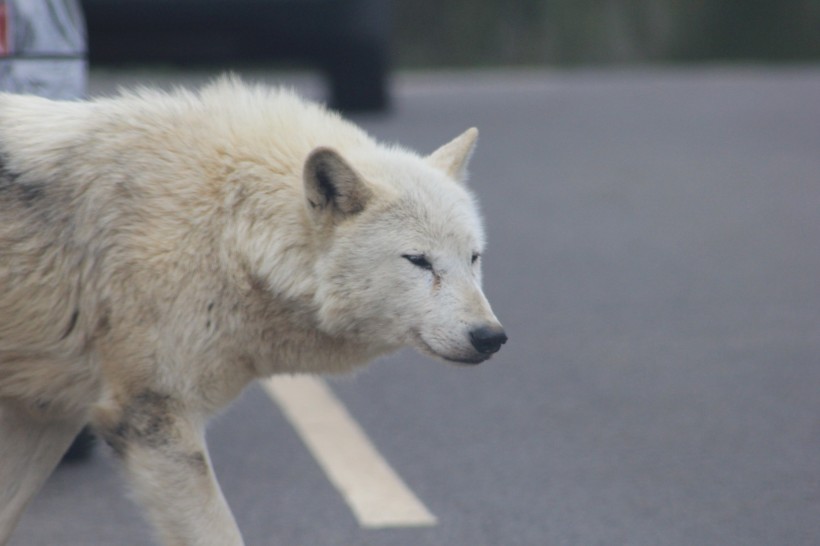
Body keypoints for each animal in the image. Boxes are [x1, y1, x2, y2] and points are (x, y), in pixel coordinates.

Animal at [0, 77, 506, 544]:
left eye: (473, 258)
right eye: (419, 260)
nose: (491, 337)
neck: (224, 228)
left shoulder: (48, 414)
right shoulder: (153, 420)